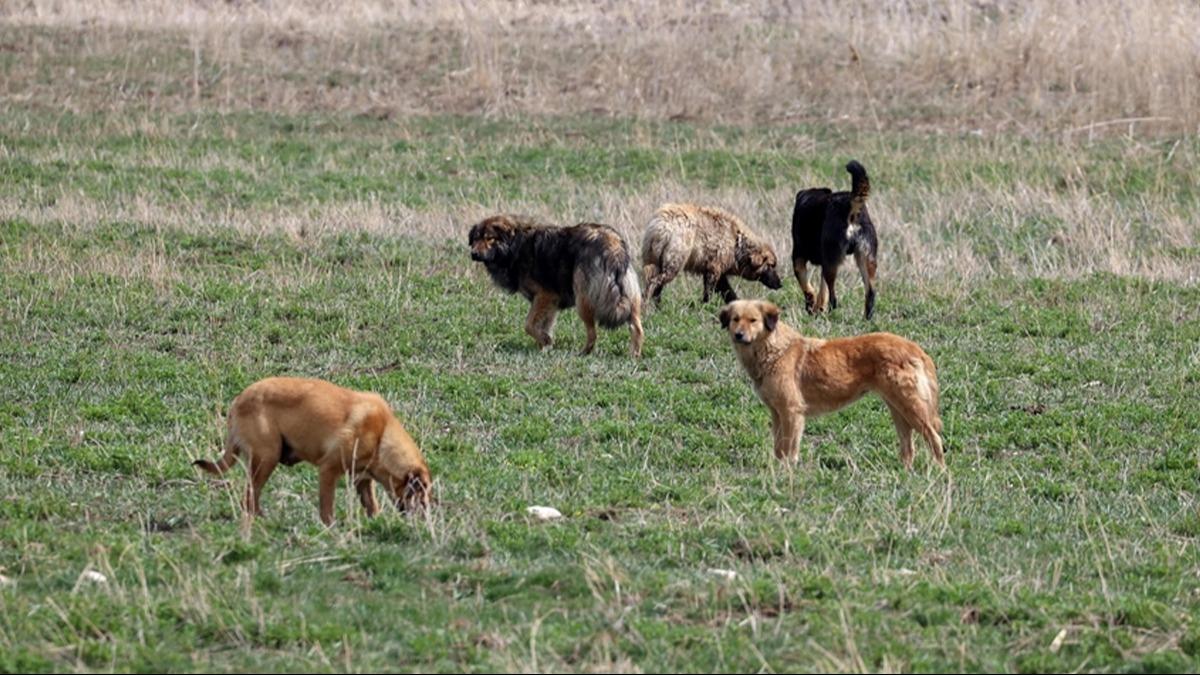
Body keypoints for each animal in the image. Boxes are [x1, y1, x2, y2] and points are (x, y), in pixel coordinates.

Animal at [189, 374, 429, 523]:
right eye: (422, 491)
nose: (427, 517)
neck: (382, 435)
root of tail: (237, 402)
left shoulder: (362, 479)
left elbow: (372, 505)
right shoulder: (328, 470)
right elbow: (327, 508)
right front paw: (330, 528)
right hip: (267, 458)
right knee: (249, 497)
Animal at [465, 214, 648, 355]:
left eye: (489, 238)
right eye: (475, 239)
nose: (474, 254)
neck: (515, 245)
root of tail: (613, 244)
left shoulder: (545, 296)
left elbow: (528, 325)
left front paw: (546, 341)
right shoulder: (550, 303)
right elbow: (542, 326)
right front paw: (544, 348)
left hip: (583, 300)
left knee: (592, 333)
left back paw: (584, 353)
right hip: (631, 298)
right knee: (637, 328)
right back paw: (634, 355)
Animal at [643, 200, 782, 303]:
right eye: (771, 265)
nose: (780, 284)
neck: (736, 245)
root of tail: (660, 225)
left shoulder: (717, 270)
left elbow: (728, 292)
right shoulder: (714, 268)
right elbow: (710, 291)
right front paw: (705, 306)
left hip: (653, 259)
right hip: (674, 260)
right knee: (655, 282)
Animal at [715, 299, 940, 468]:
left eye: (753, 320)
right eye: (735, 319)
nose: (738, 335)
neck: (774, 349)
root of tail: (914, 347)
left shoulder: (791, 411)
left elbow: (789, 448)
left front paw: (788, 471)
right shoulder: (777, 413)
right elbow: (779, 447)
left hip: (911, 408)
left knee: (935, 438)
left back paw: (940, 471)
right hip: (898, 410)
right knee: (909, 448)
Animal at [792, 158, 878, 319]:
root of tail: (850, 206)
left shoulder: (798, 256)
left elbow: (807, 286)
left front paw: (811, 306)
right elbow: (822, 291)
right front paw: (817, 309)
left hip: (831, 262)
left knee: (834, 297)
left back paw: (832, 313)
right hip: (866, 259)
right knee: (870, 293)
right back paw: (866, 319)